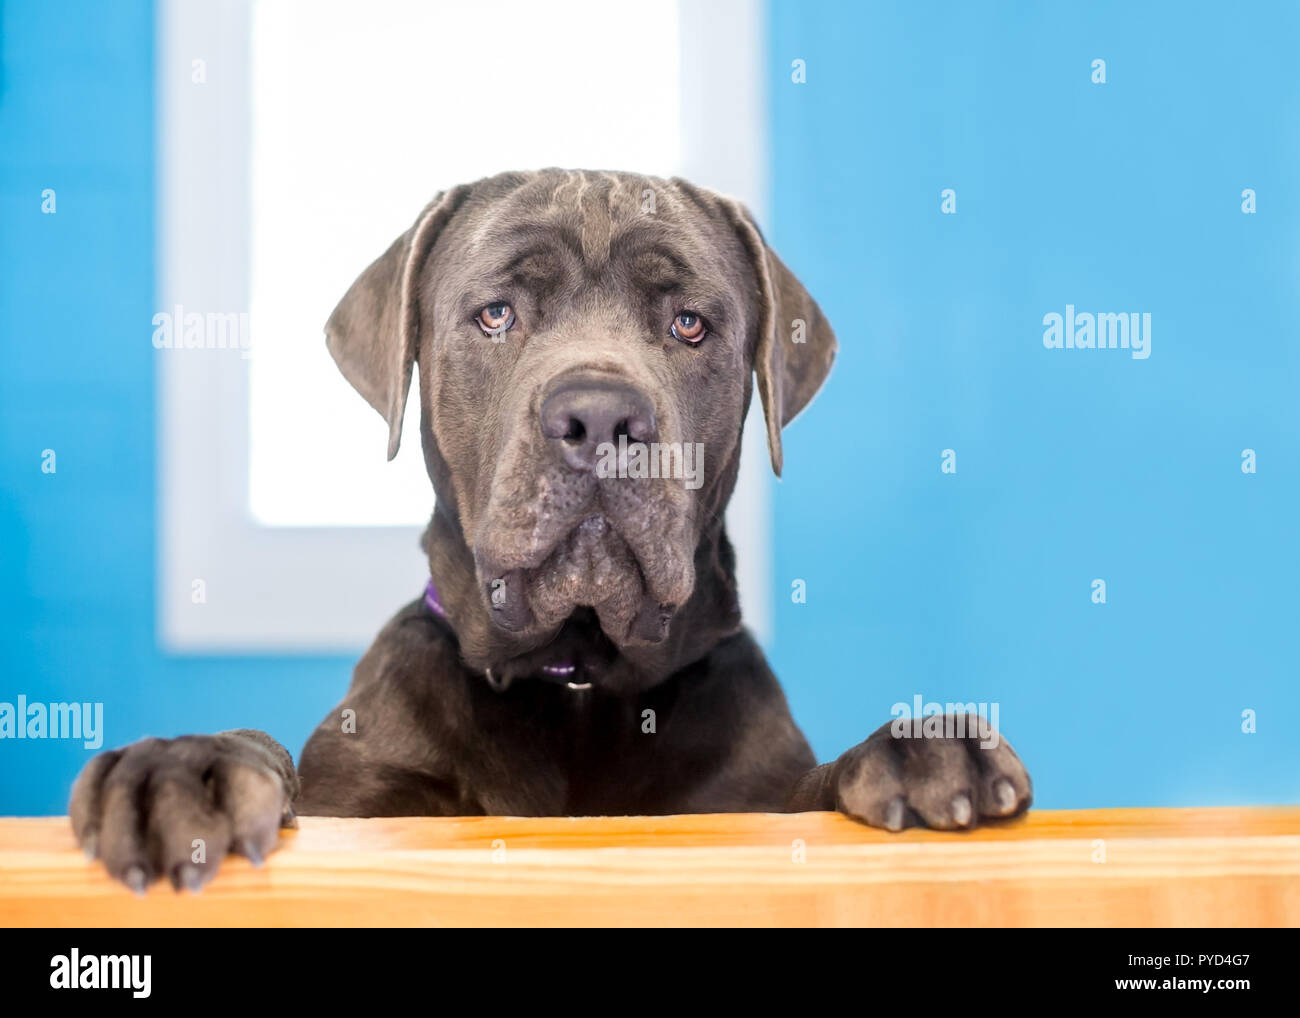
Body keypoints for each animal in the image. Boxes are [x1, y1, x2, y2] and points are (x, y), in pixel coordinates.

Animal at [71, 169, 1029, 894]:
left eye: (690, 323)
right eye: (496, 313)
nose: (599, 415)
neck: (577, 683)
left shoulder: (750, 798)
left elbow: (809, 792)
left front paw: (918, 750)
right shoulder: (365, 802)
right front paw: (185, 768)